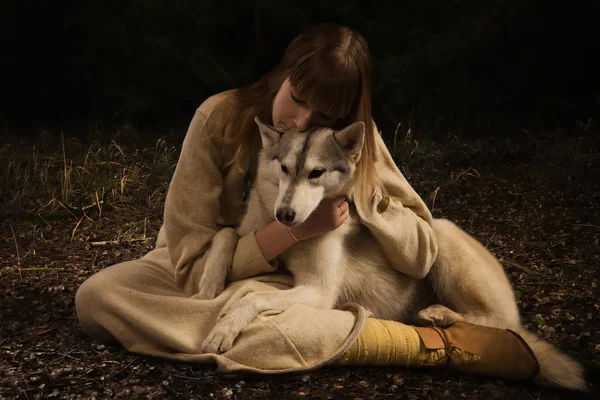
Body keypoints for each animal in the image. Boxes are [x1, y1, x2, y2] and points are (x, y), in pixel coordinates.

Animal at [199, 117, 584, 392]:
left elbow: (253, 297)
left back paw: (440, 314)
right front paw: (209, 282)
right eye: (283, 169)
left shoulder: (318, 291)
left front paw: (225, 325)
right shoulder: (254, 235)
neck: (293, 234)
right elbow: (225, 233)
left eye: (316, 173)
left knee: (499, 321)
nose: (285, 215)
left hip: (443, 234)